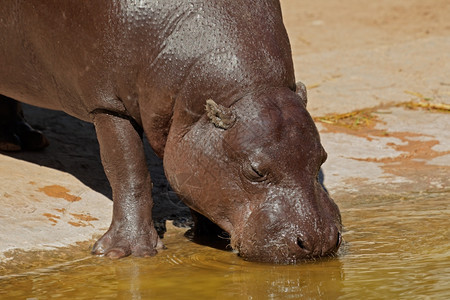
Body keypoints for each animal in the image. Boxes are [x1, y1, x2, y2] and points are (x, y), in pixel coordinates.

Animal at [0, 0, 342, 262]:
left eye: (322, 158)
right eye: (256, 171)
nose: (319, 240)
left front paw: (207, 233)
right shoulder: (107, 105)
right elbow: (129, 171)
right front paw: (124, 252)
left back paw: (23, 140)